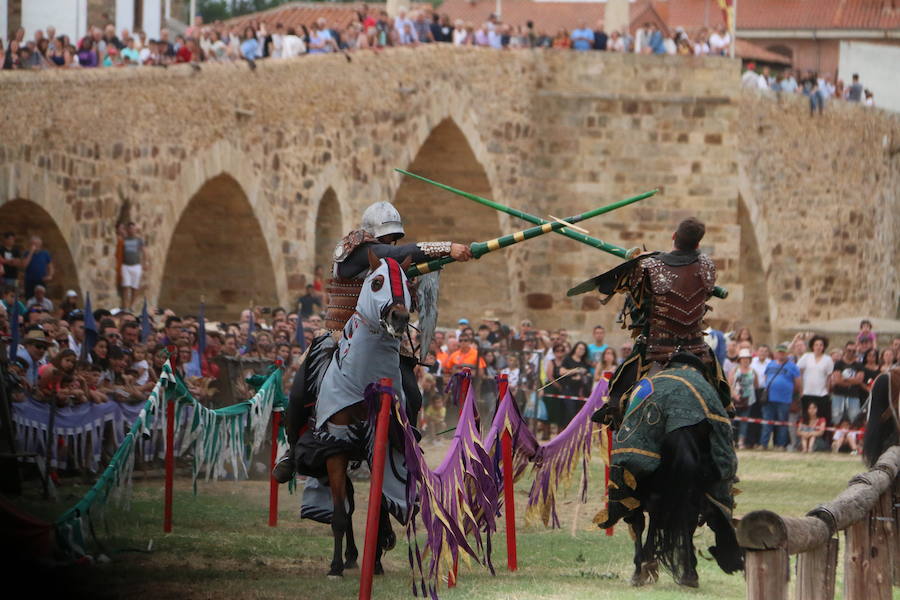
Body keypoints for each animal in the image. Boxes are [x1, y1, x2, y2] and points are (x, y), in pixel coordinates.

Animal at [596, 354, 744, 588]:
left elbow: (639, 520)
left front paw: (641, 568)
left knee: (654, 511)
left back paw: (647, 565)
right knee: (687, 512)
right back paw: (689, 573)